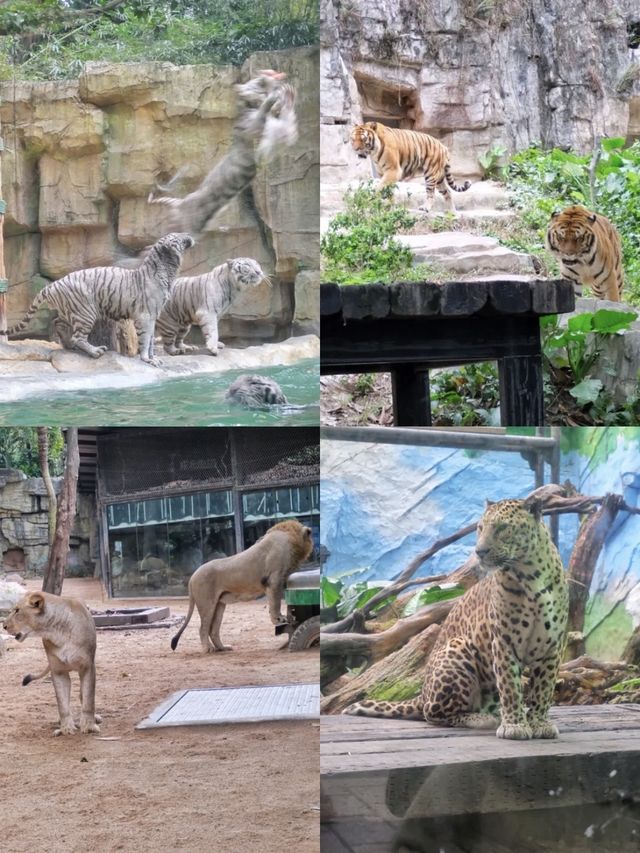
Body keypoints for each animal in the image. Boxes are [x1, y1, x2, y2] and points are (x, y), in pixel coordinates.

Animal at [8, 231, 194, 364]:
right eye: (178, 234)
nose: (189, 233)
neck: (167, 269)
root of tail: (53, 284)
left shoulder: (154, 315)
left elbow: (151, 341)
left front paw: (154, 357)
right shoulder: (145, 316)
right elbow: (146, 338)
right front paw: (148, 359)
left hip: (70, 311)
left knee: (58, 323)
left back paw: (69, 345)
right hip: (86, 312)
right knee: (78, 336)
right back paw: (95, 351)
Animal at [169, 520, 312, 652]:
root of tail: (192, 577)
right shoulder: (274, 579)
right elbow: (275, 602)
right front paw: (279, 619)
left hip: (219, 604)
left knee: (213, 629)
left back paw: (223, 648)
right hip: (206, 603)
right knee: (203, 628)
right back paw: (208, 649)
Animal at [344, 500, 568, 740]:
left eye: (502, 528)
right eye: (480, 528)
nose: (480, 552)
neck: (530, 574)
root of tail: (422, 694)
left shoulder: (553, 645)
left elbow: (543, 688)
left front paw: (539, 723)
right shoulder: (503, 642)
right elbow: (510, 687)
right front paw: (514, 726)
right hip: (457, 647)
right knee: (433, 713)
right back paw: (481, 719)